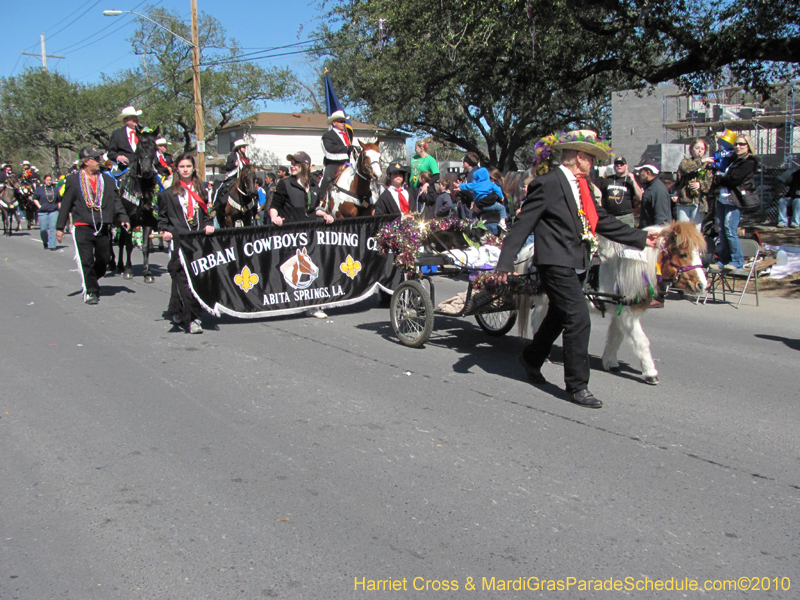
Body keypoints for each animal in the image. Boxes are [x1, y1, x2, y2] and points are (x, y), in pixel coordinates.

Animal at [520, 223, 708, 386]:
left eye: (699, 253)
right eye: (683, 254)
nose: (702, 285)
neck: (629, 270)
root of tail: (531, 249)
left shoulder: (621, 311)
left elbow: (616, 337)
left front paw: (610, 362)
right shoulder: (628, 315)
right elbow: (641, 341)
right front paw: (650, 373)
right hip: (544, 298)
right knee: (538, 320)